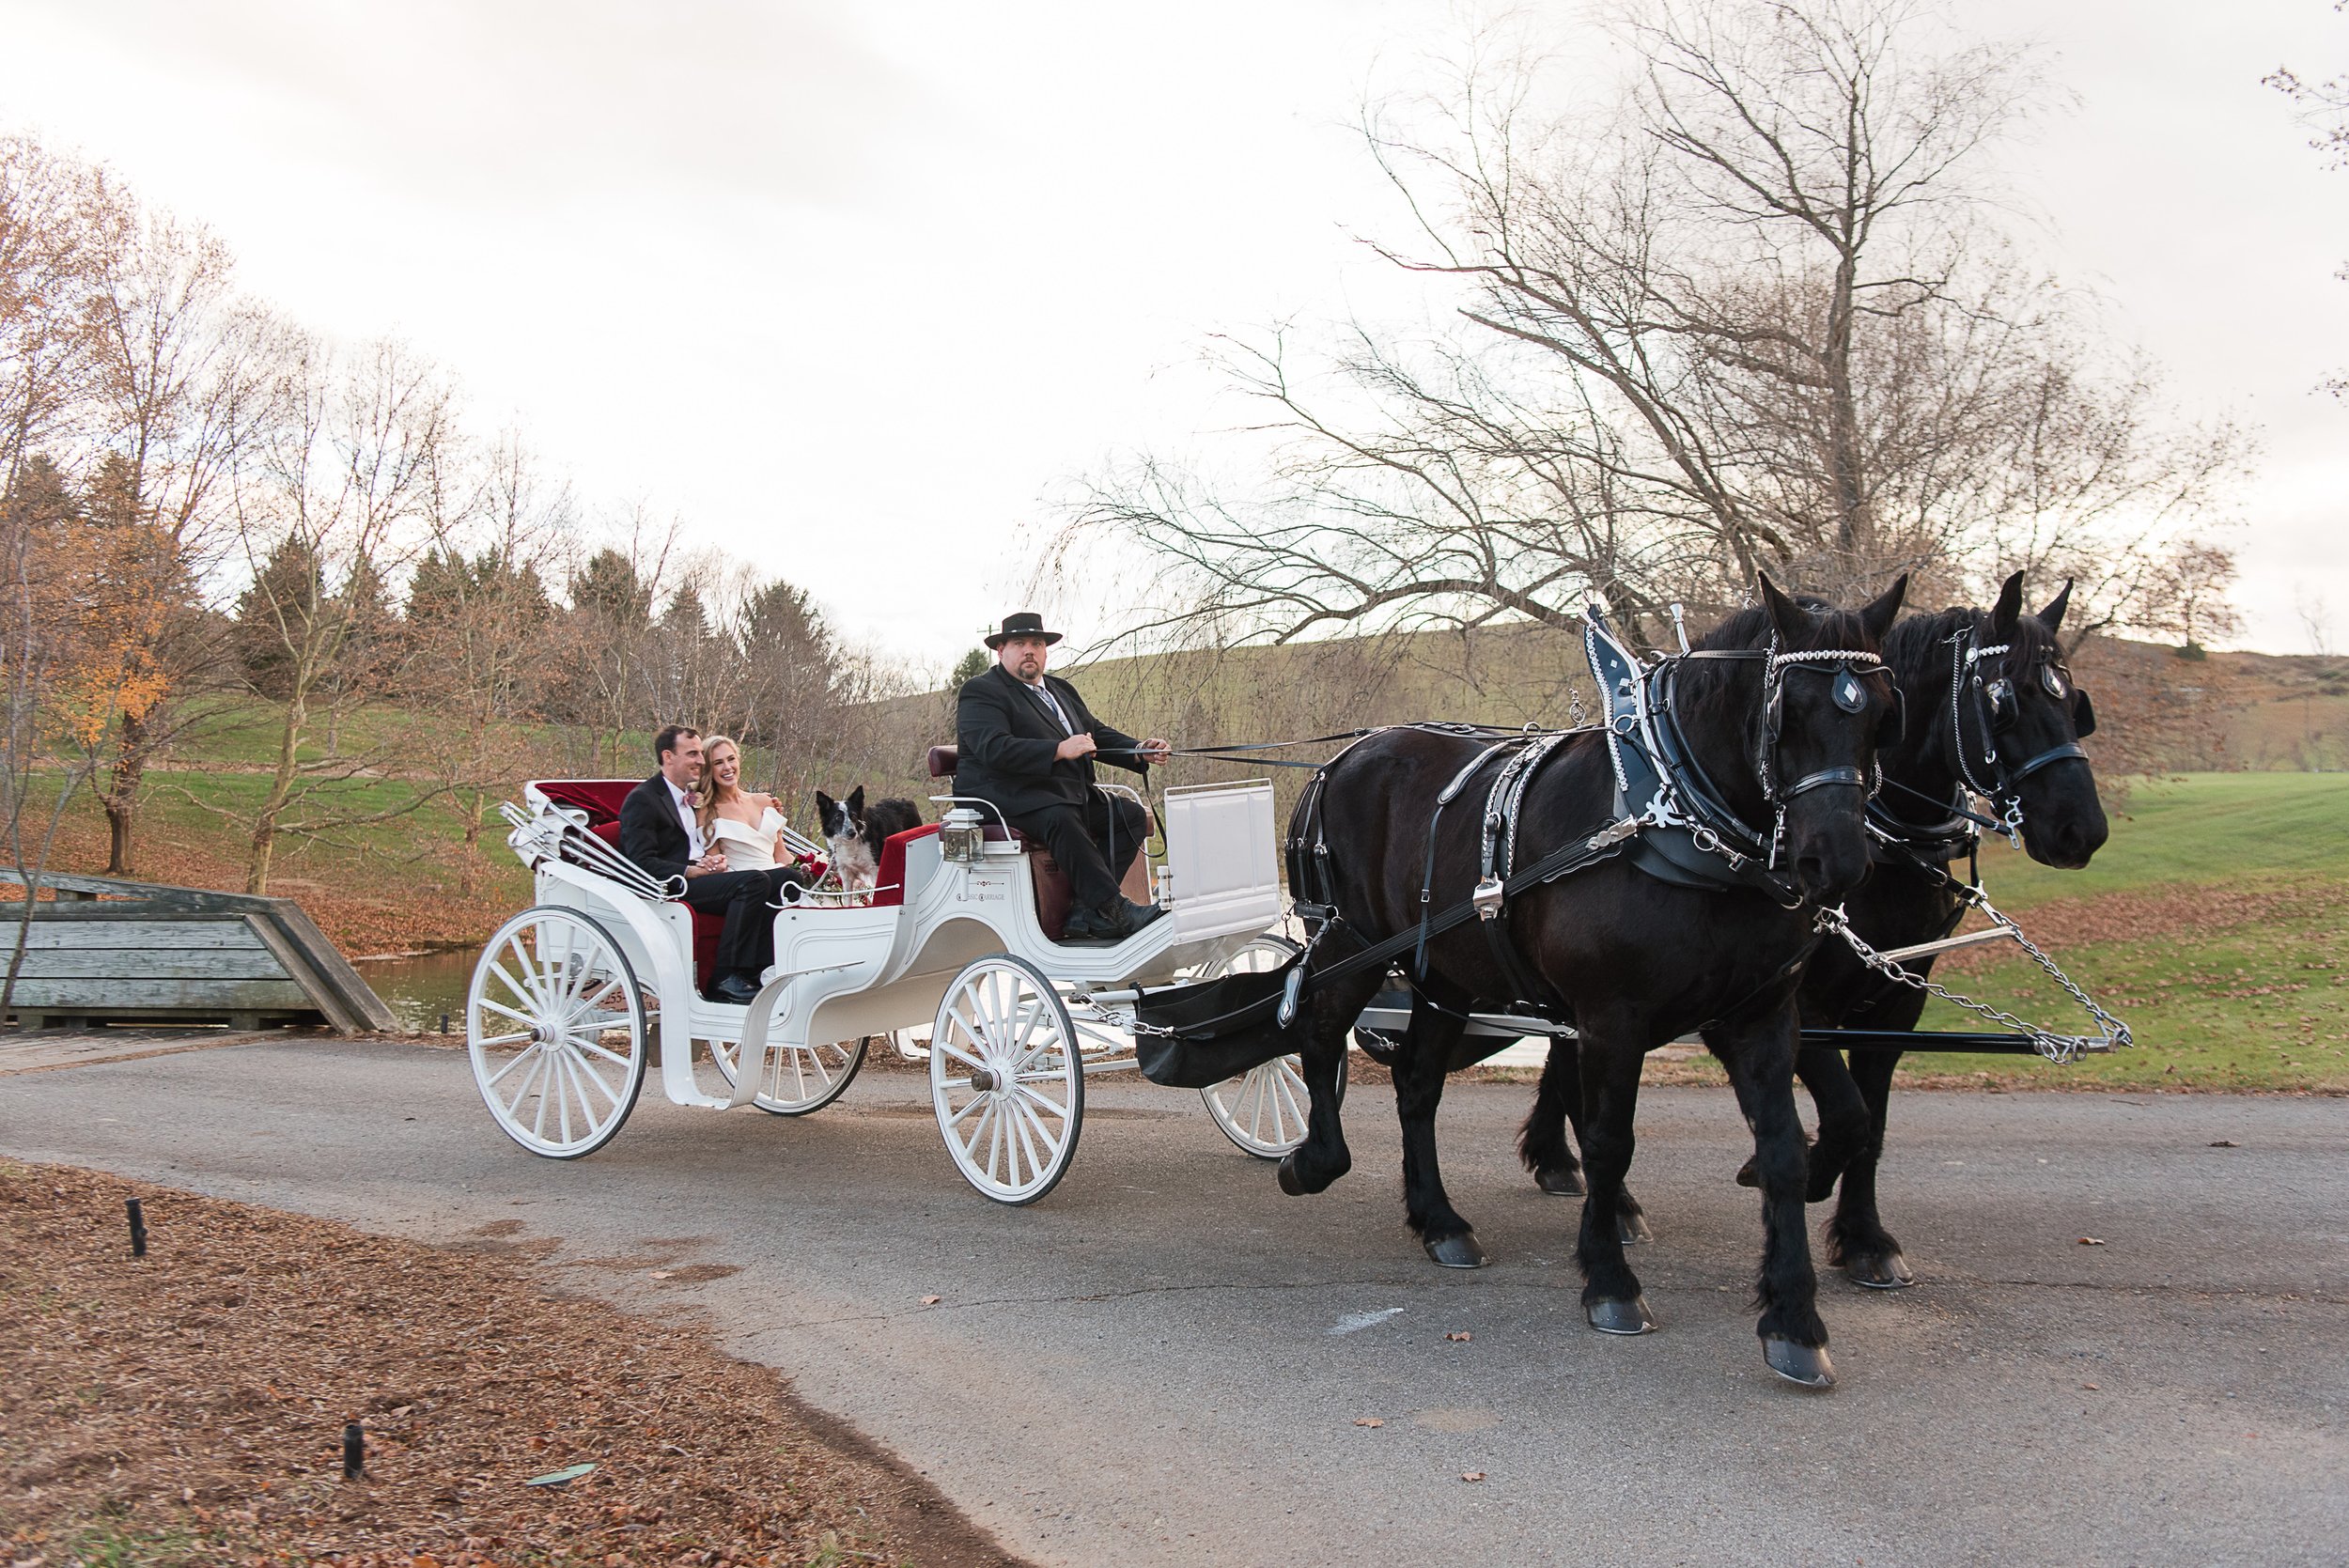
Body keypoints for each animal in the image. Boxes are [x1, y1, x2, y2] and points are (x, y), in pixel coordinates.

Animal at [1268, 575, 1907, 1380]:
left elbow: (1786, 1150)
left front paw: (1794, 1317)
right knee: (1318, 1027)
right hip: (1348, 938)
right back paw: (1314, 1159)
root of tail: (1342, 758)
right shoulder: (1611, 1015)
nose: (1839, 861)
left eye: (1882, 713)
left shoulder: (1761, 1015)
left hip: (1445, 971)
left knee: (1416, 1085)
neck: (1676, 816)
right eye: (1788, 710)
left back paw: (1439, 1219)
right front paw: (1610, 1280)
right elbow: (1609, 1140)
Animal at [1522, 570, 2114, 1277]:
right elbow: (1847, 1114)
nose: (2083, 831)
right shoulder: (1798, 1002)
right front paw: (1796, 1176)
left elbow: (1873, 1123)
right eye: (2004, 703)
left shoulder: (1896, 1003)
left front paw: (1863, 1237)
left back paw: (1559, 1161)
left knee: (1563, 1049)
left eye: (2073, 701)